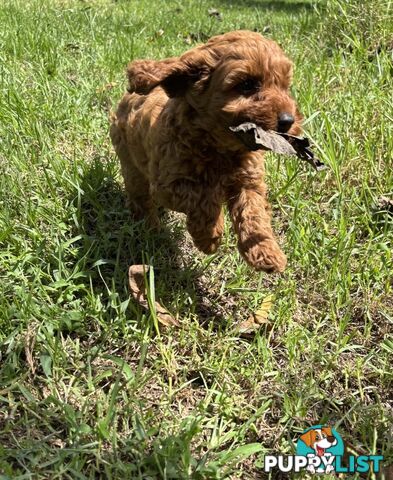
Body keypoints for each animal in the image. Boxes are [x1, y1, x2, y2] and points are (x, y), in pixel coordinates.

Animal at [112, 30, 302, 272]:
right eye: (247, 84)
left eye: (285, 86)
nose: (288, 120)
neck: (221, 148)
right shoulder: (168, 184)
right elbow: (203, 197)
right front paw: (209, 237)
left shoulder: (249, 182)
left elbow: (253, 213)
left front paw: (266, 252)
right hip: (131, 162)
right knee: (140, 198)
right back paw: (151, 229)